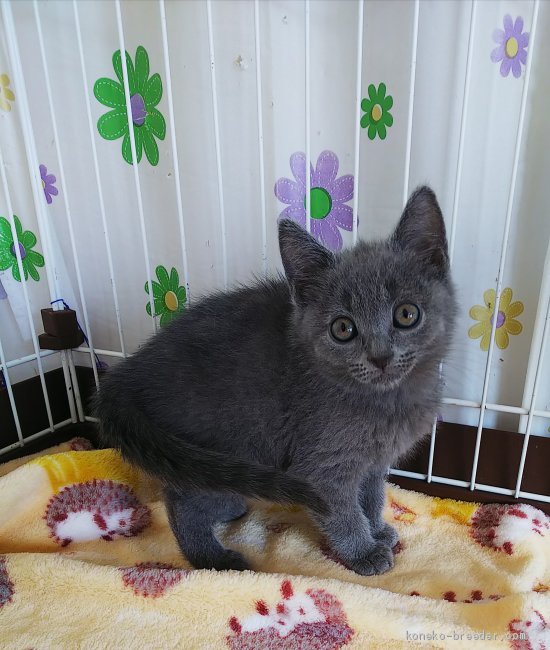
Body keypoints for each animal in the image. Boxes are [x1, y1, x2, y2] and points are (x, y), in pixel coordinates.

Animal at [95, 185, 456, 576]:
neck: (388, 400)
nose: (380, 356)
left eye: (406, 314)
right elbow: (343, 511)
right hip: (226, 445)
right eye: (343, 329)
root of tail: (129, 373)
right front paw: (363, 551)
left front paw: (377, 530)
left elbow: (372, 497)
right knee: (182, 499)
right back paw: (212, 557)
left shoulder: (373, 463)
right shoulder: (321, 466)